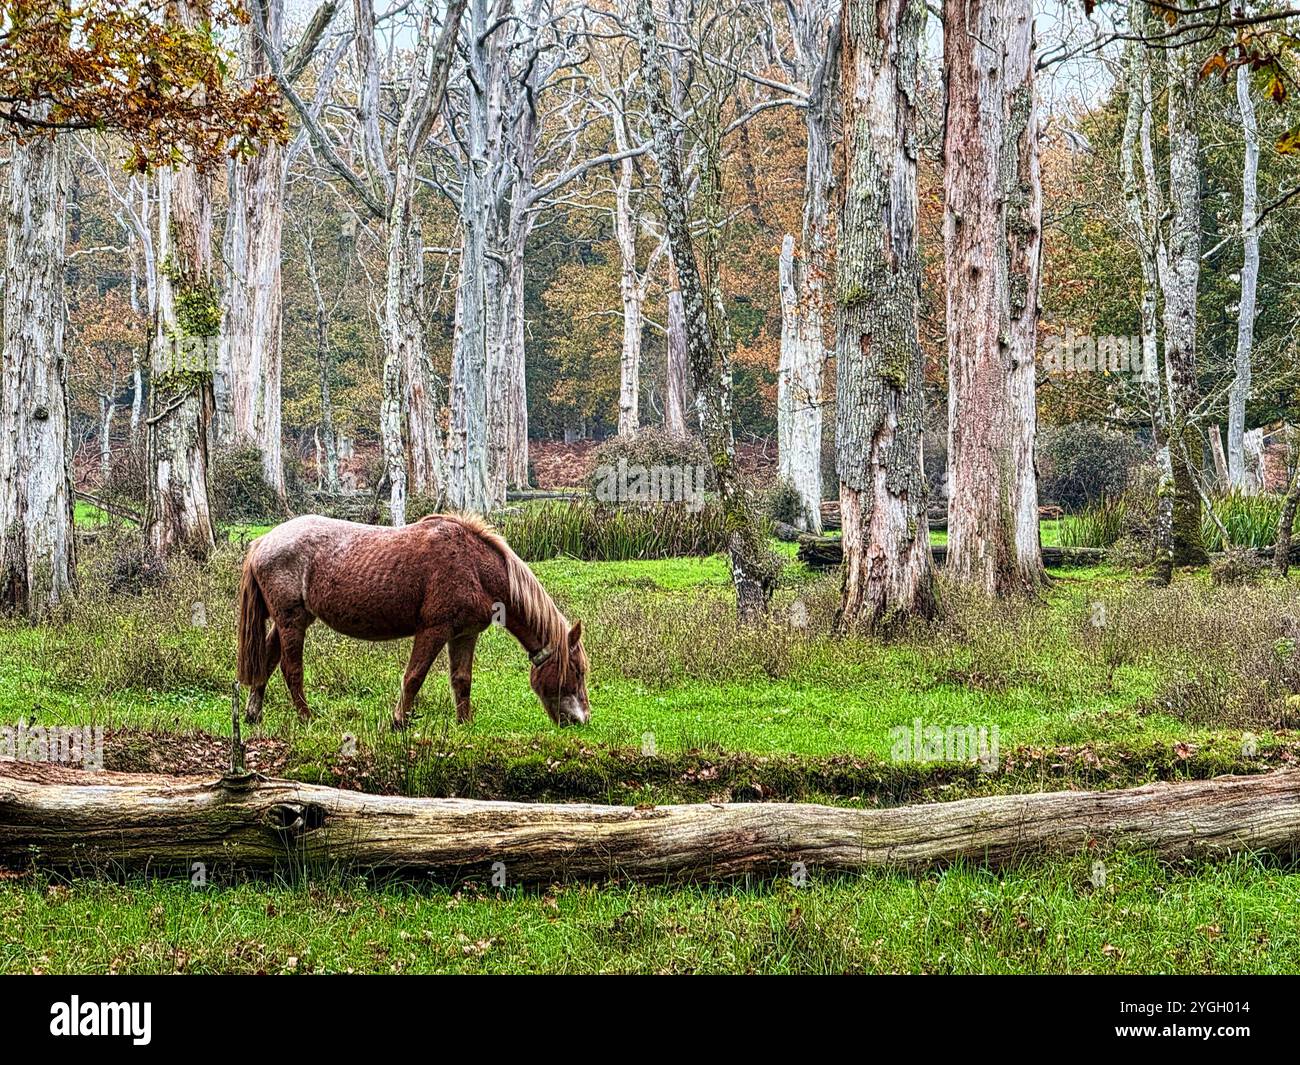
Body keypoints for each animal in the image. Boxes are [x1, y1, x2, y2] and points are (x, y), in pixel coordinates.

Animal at [236, 513, 590, 729]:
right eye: (577, 670)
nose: (583, 719)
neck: (475, 567)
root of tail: (263, 542)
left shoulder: (464, 635)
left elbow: (462, 680)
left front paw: (465, 724)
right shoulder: (434, 630)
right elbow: (414, 677)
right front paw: (398, 721)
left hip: (291, 621)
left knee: (267, 659)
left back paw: (254, 713)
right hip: (291, 621)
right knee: (291, 669)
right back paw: (307, 717)